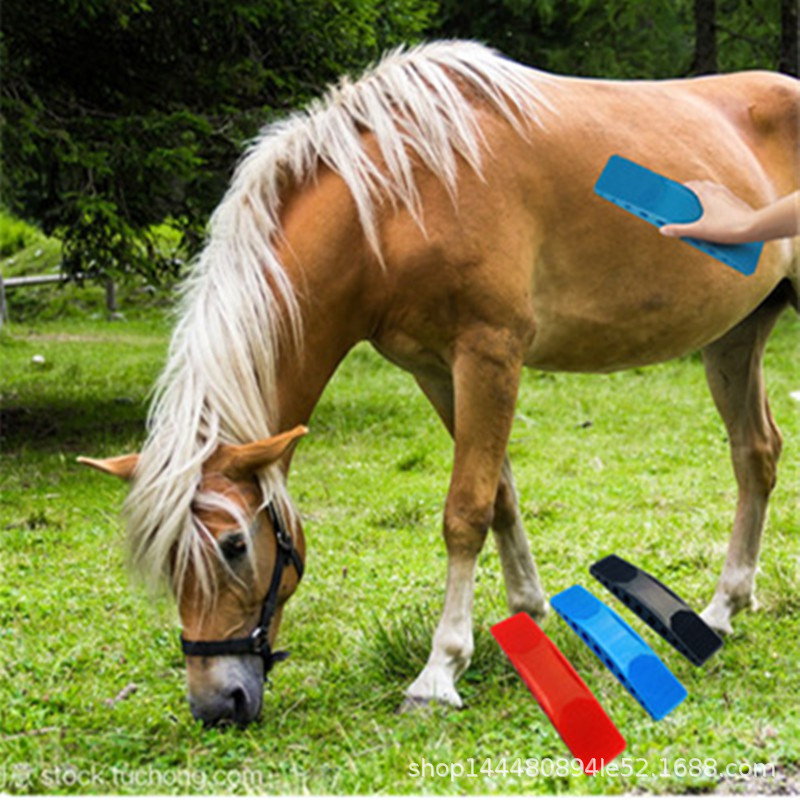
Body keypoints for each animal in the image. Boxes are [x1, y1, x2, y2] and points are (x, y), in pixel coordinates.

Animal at [79, 41, 800, 727]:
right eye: (169, 561)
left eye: (233, 546)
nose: (216, 704)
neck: (397, 198)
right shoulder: (435, 369)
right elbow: (500, 494)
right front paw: (527, 614)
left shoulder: (488, 354)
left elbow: (466, 510)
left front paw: (440, 671)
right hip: (733, 338)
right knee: (756, 453)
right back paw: (720, 610)